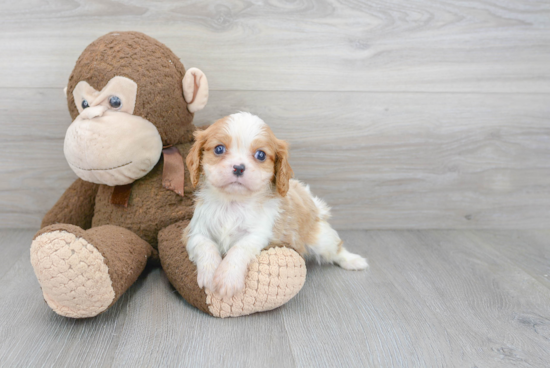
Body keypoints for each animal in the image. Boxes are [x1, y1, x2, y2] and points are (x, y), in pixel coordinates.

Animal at [185, 111, 370, 296]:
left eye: (260, 155)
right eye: (219, 149)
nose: (238, 167)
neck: (233, 202)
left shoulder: (257, 234)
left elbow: (239, 249)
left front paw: (227, 279)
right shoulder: (196, 232)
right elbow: (205, 245)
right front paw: (209, 274)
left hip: (321, 239)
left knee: (336, 249)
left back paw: (353, 261)